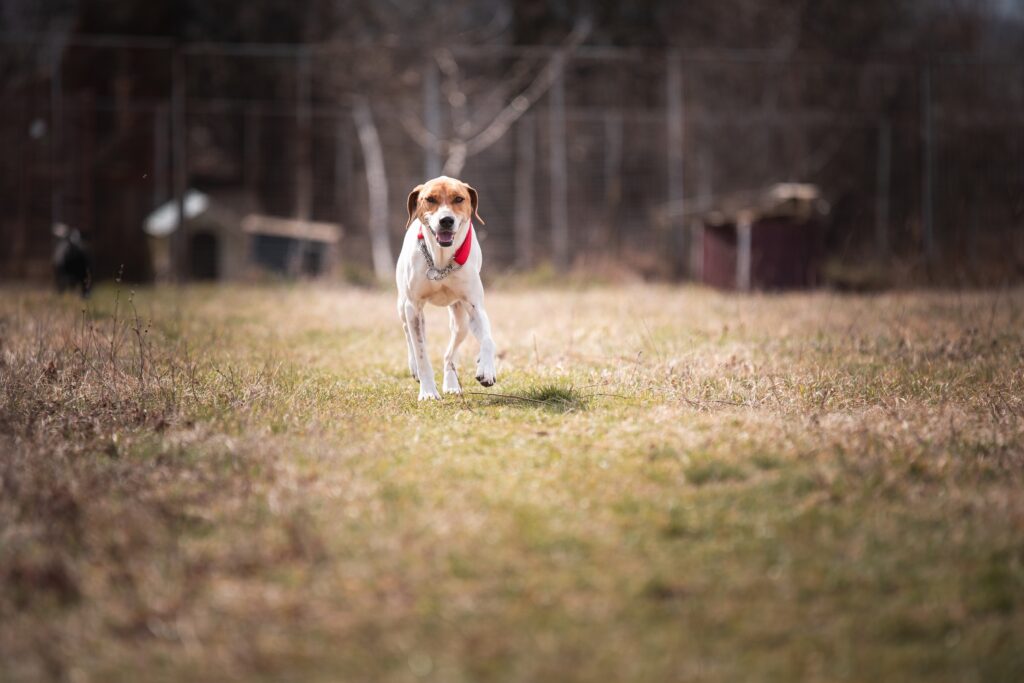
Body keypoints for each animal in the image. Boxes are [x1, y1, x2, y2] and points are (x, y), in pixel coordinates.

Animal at [393, 175, 497, 401]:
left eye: (459, 198)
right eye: (430, 199)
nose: (446, 220)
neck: (440, 261)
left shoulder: (475, 306)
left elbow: (488, 339)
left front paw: (486, 369)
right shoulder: (413, 307)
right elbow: (422, 354)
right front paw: (428, 392)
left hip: (461, 322)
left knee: (449, 354)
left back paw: (451, 384)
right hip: (404, 307)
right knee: (408, 333)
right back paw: (414, 367)